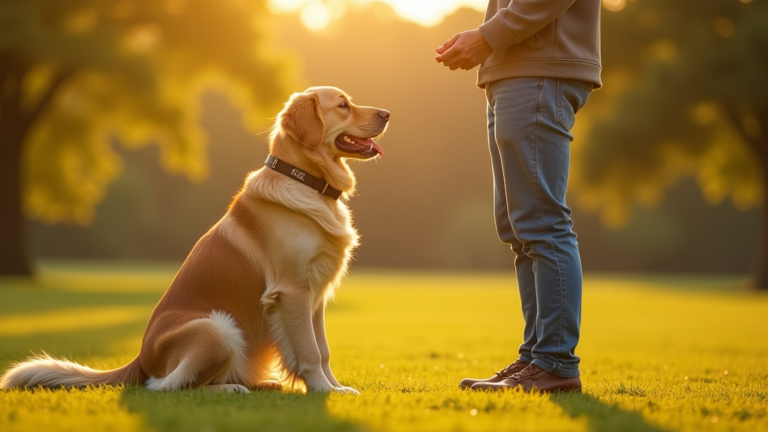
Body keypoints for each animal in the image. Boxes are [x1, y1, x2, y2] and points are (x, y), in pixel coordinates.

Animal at [1, 86, 390, 394]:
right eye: (343, 105)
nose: (387, 113)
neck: (305, 181)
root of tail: (139, 358)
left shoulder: (316, 296)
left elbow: (322, 350)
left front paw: (336, 387)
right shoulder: (292, 291)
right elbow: (309, 352)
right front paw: (324, 391)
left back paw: (259, 382)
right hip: (216, 327)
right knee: (167, 385)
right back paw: (231, 388)